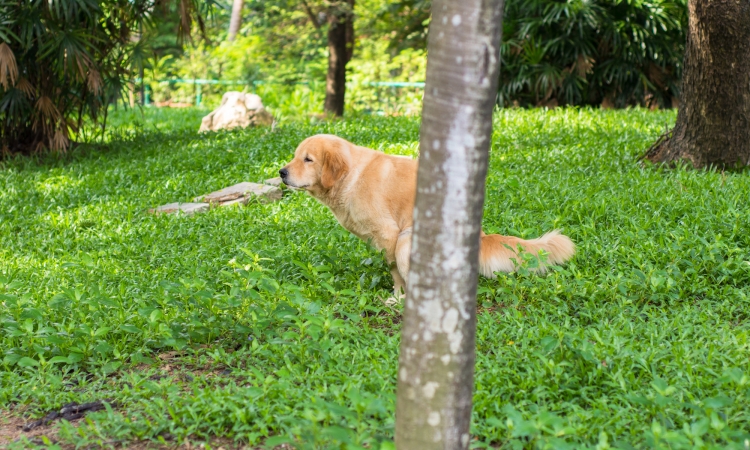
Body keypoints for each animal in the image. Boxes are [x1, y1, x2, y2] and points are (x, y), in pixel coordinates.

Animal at [280, 134, 580, 296]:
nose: (281, 172)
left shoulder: (390, 234)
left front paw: (397, 295)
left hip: (407, 239)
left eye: (308, 159)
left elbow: (396, 273)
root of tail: (481, 237)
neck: (351, 177)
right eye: (295, 156)